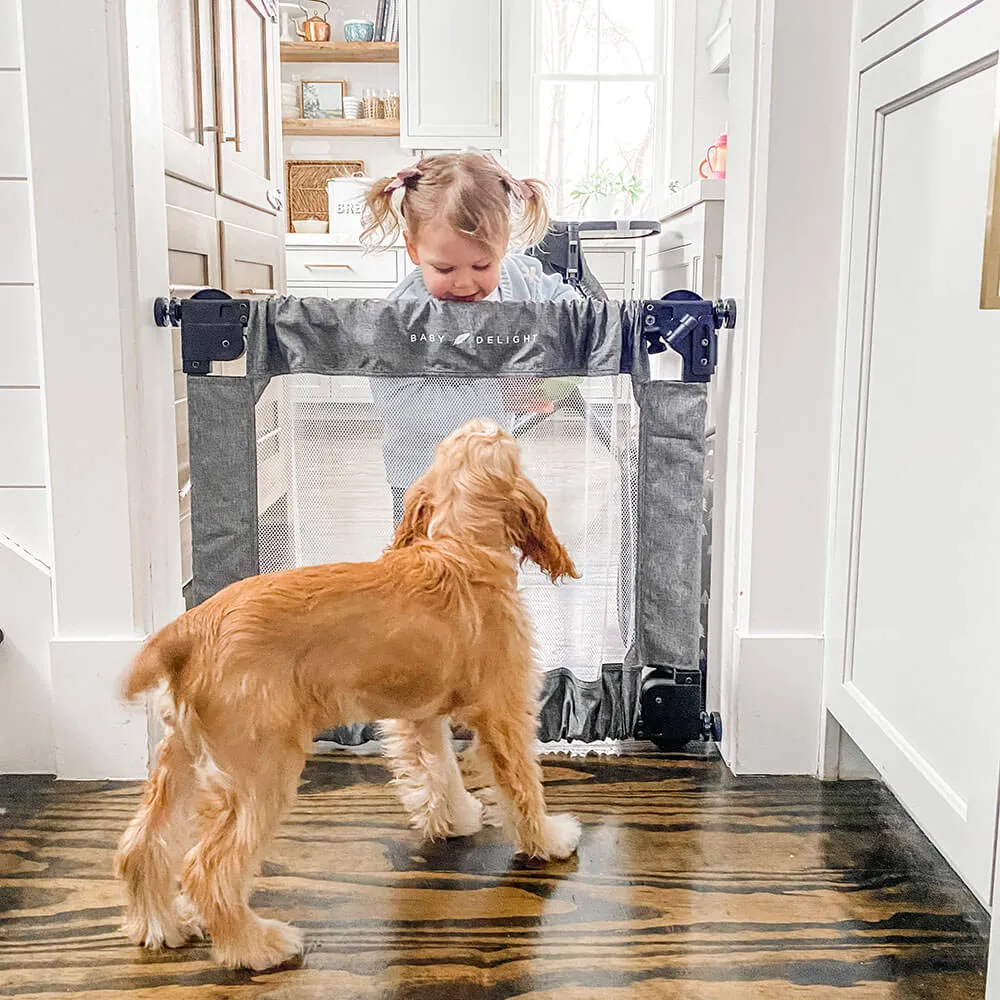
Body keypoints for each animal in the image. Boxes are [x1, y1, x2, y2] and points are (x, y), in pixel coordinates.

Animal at [113, 420, 584, 968]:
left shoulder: (418, 716)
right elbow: (524, 787)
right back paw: (256, 946)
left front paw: (457, 817)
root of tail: (190, 627)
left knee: (141, 847)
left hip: (183, 757)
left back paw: (162, 925)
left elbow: (439, 771)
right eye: (507, 446)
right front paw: (549, 839)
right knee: (208, 869)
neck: (460, 550)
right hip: (260, 771)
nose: (486, 422)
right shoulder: (505, 712)